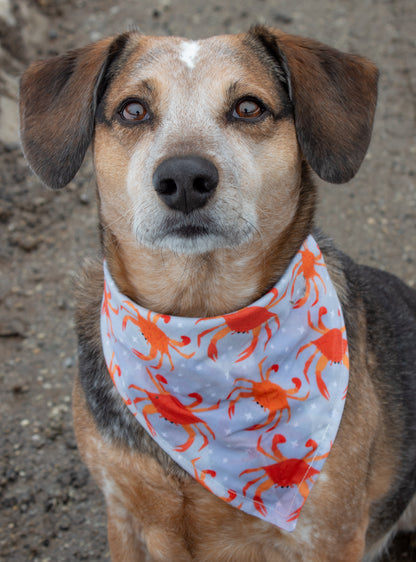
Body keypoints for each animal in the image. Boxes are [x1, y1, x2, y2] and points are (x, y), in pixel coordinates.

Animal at [19, 26, 416, 560]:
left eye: (248, 107)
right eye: (132, 110)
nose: (184, 177)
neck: (196, 313)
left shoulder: (329, 533)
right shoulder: (123, 512)